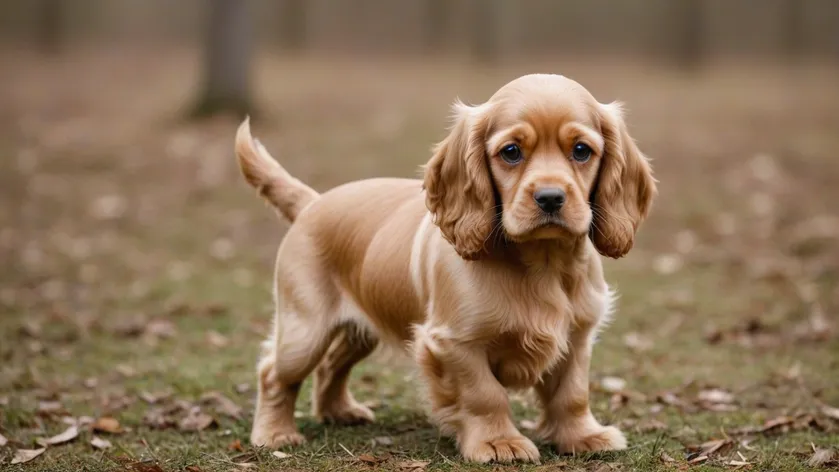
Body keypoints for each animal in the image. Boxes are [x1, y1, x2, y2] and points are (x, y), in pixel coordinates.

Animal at [235, 74, 656, 464]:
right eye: (511, 152)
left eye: (582, 151)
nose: (550, 198)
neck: (544, 262)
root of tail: (312, 202)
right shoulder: (456, 343)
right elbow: (485, 395)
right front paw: (498, 442)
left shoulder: (578, 335)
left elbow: (572, 393)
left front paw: (583, 436)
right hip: (304, 330)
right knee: (274, 373)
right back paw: (275, 434)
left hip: (360, 328)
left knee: (331, 365)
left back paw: (339, 412)